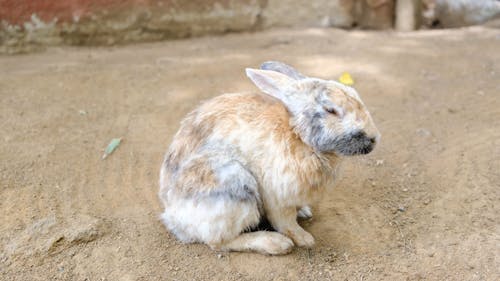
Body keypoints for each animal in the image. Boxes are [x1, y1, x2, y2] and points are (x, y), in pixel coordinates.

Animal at [158, 61, 380, 254]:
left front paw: (304, 212)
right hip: (233, 186)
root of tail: (173, 217)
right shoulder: (279, 197)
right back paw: (276, 244)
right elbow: (286, 223)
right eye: (330, 110)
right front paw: (305, 239)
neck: (298, 136)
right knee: (218, 242)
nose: (373, 139)